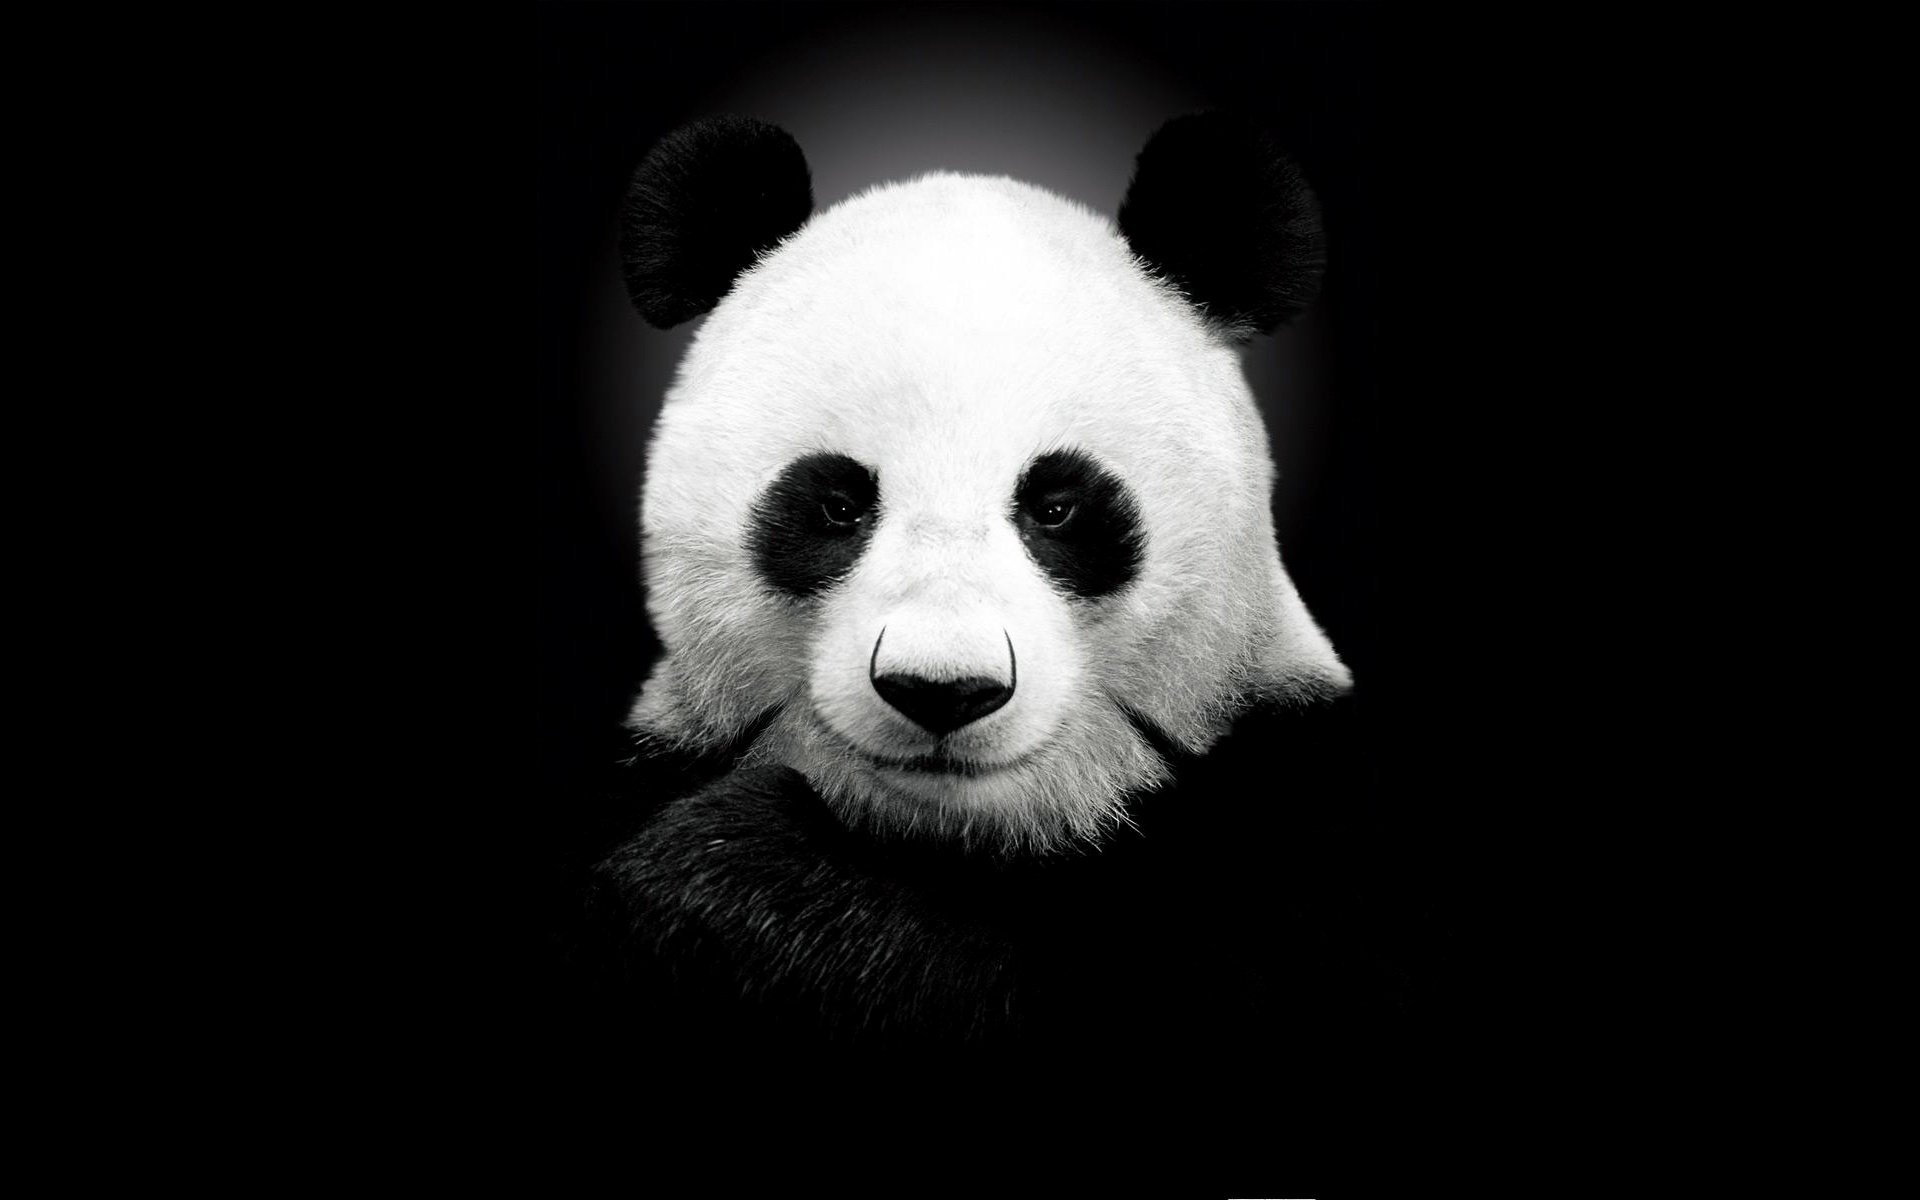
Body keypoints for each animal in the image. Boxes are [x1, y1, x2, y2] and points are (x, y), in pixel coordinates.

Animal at [579, 113, 1411, 1063]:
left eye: (1057, 507)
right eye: (837, 505)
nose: (943, 690)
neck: (959, 837)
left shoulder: (1299, 821)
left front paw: (734, 879)